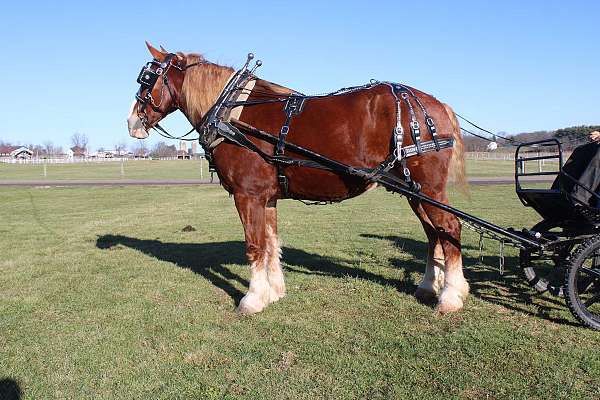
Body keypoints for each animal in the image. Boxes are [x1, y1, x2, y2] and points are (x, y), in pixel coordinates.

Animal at [127, 42, 468, 314]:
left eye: (147, 79)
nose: (132, 122)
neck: (231, 113)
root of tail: (435, 104)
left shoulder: (247, 195)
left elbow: (255, 245)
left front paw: (252, 299)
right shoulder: (267, 198)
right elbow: (270, 243)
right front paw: (273, 291)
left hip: (429, 189)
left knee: (450, 227)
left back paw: (450, 296)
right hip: (414, 191)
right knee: (434, 233)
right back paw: (429, 285)